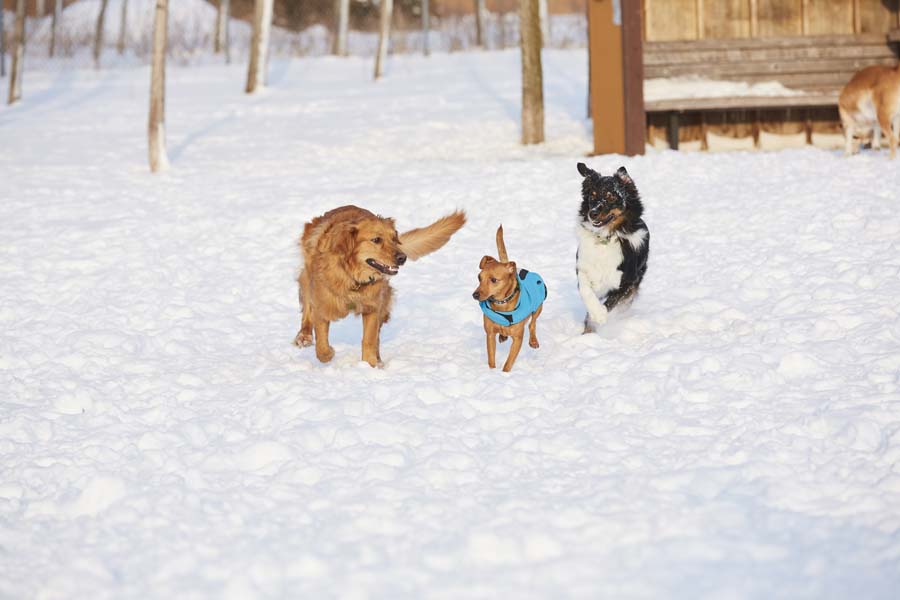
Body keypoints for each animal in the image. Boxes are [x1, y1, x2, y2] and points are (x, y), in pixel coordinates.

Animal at [298, 205, 468, 366]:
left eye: (394, 238)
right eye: (376, 240)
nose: (402, 258)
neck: (354, 279)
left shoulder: (373, 308)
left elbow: (369, 339)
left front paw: (370, 365)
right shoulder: (322, 306)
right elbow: (321, 343)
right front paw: (328, 353)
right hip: (307, 277)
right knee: (307, 308)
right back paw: (304, 336)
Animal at [472, 227, 548, 372]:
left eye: (494, 280)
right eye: (479, 277)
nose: (475, 295)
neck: (501, 305)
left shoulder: (517, 339)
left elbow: (508, 363)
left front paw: (504, 374)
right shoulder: (490, 335)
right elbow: (491, 358)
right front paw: (491, 372)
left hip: (538, 306)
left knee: (532, 323)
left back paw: (533, 341)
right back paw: (503, 336)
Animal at [576, 162, 648, 332]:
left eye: (611, 197)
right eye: (592, 196)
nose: (592, 213)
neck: (604, 239)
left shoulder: (627, 282)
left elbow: (612, 301)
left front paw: (600, 316)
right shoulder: (582, 268)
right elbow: (585, 290)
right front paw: (596, 314)